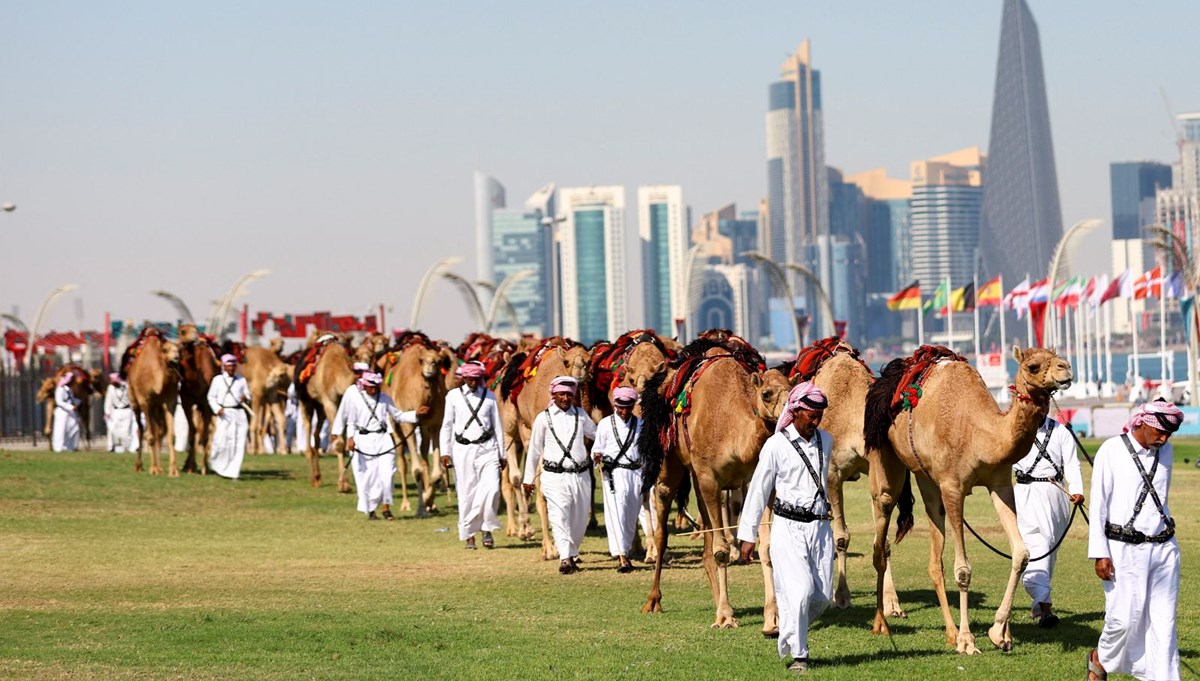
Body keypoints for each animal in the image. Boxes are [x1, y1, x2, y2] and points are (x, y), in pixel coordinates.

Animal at [128, 328, 183, 477]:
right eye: (165, 349)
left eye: (178, 350)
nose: (176, 358)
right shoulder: (145, 401)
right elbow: (150, 436)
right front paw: (153, 469)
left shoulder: (170, 401)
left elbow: (171, 436)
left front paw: (173, 470)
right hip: (135, 403)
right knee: (141, 430)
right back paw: (139, 466)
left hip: (156, 407)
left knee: (159, 430)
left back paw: (160, 467)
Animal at [633, 338, 792, 628]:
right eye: (766, 393)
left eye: (792, 388)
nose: (790, 414)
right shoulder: (709, 477)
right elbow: (721, 549)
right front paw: (726, 617)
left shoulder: (759, 479)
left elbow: (766, 547)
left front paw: (772, 619)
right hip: (672, 464)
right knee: (663, 523)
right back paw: (653, 600)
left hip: (698, 480)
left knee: (707, 538)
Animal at [868, 345, 1075, 652]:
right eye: (1033, 366)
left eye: (1057, 356)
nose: (1066, 369)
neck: (981, 434)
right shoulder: (953, 487)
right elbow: (963, 569)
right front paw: (968, 641)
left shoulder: (999, 483)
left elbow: (1022, 554)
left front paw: (1000, 633)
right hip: (885, 454)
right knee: (881, 528)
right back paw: (882, 622)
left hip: (926, 478)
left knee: (934, 554)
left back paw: (950, 632)